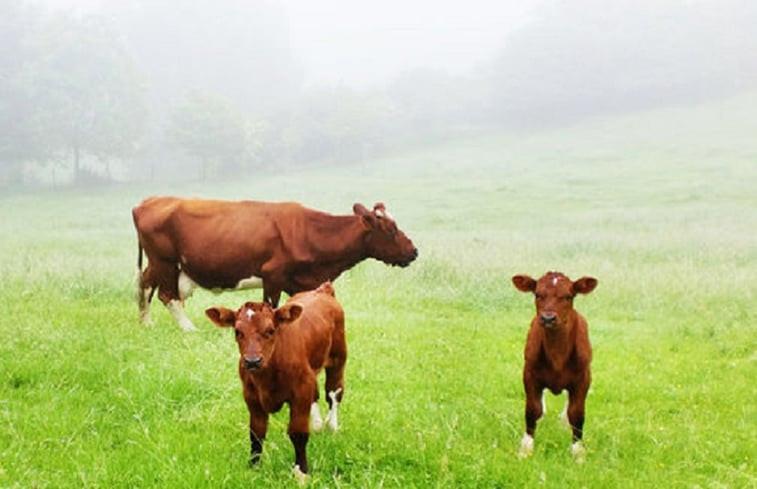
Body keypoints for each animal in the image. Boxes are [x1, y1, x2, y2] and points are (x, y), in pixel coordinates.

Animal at [133, 196, 416, 330]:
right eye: (391, 230)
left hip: (158, 264)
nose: (414, 251)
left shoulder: (299, 281)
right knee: (167, 295)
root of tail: (147, 201)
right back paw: (188, 328)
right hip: (165, 261)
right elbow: (270, 307)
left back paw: (147, 323)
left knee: (145, 285)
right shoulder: (273, 276)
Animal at [204, 280, 346, 482]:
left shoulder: (301, 390)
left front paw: (301, 472)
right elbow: (256, 433)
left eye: (270, 330)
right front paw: (253, 467)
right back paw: (318, 425)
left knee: (334, 392)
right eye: (238, 332)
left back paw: (331, 425)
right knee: (317, 394)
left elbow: (298, 432)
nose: (252, 361)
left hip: (338, 358)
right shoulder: (251, 395)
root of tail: (322, 290)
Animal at [512, 270, 596, 462]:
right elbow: (532, 409)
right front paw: (526, 449)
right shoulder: (529, 373)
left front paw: (578, 452)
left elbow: (577, 413)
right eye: (537, 294)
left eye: (568, 296)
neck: (557, 356)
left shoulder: (583, 378)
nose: (548, 318)